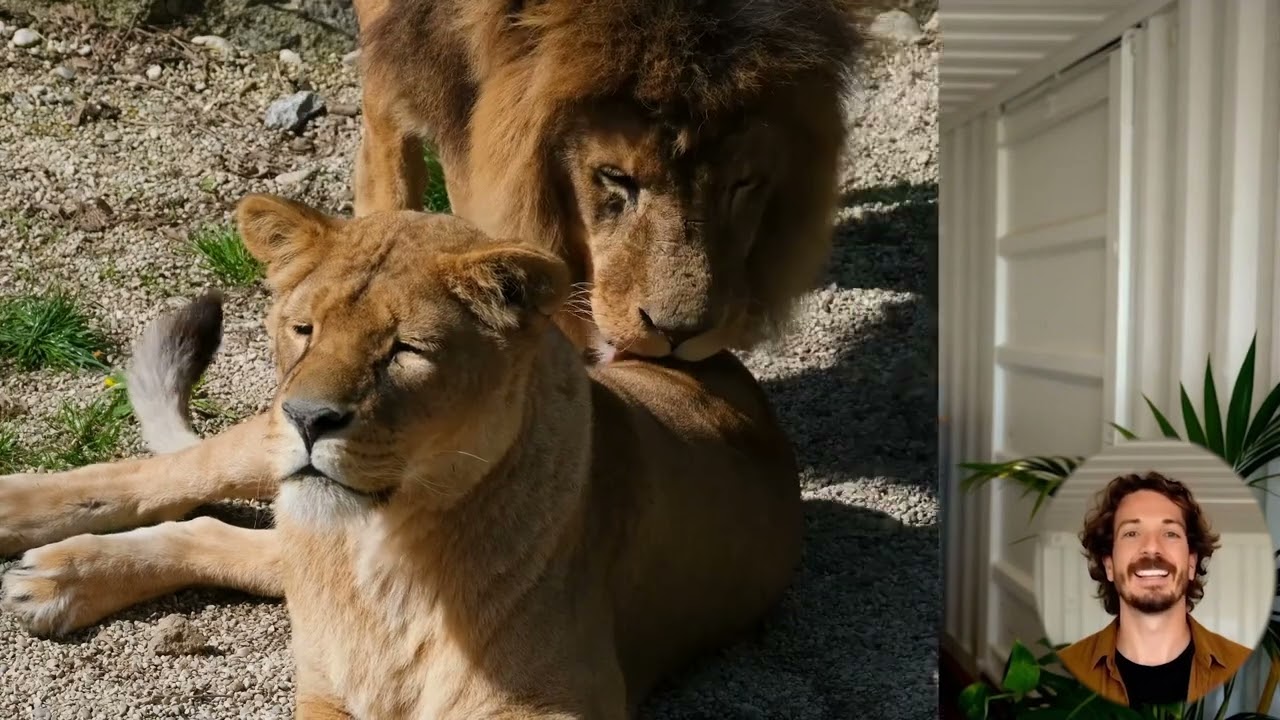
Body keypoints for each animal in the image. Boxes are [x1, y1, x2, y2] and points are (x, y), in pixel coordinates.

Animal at [27, 195, 807, 719]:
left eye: (405, 350)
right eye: (303, 329)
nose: (307, 418)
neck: (388, 560)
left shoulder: (568, 700)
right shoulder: (326, 689)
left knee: (222, 536)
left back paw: (56, 580)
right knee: (169, 479)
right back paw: (42, 552)